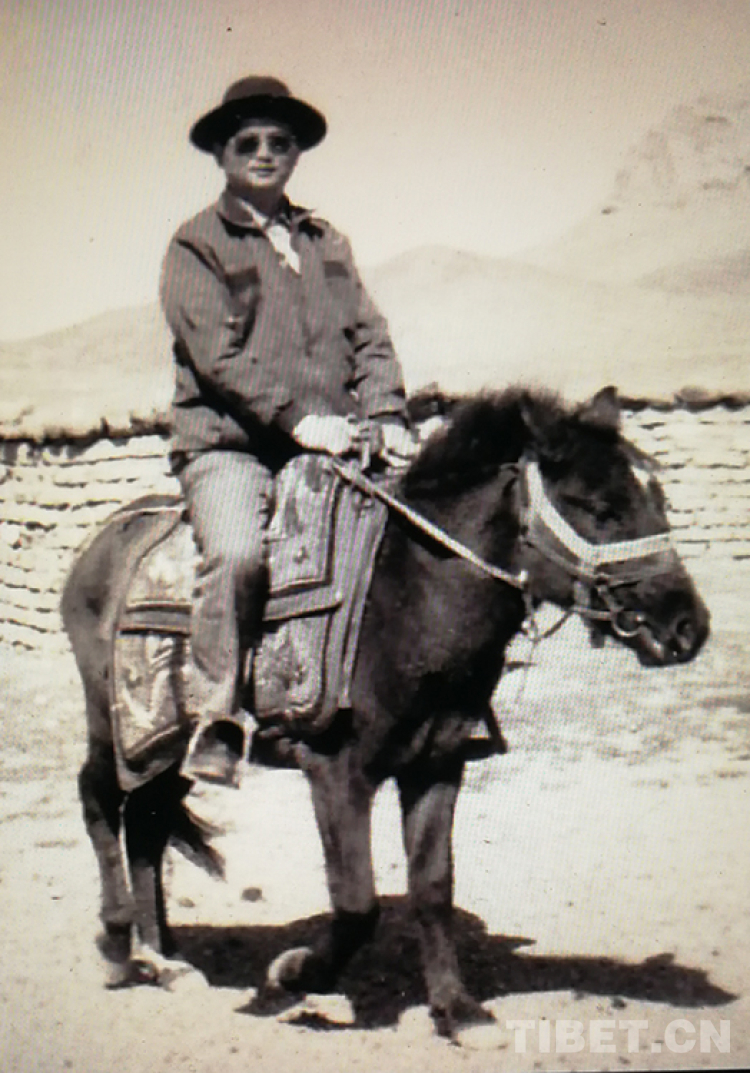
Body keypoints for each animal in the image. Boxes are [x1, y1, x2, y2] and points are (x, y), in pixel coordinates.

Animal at [61, 386, 709, 1039]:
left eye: (655, 499)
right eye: (599, 507)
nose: (689, 627)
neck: (408, 597)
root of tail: (101, 545)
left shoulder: (436, 765)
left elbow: (433, 887)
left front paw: (456, 1009)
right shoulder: (336, 773)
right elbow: (357, 903)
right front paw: (293, 975)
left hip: (167, 745)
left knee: (147, 820)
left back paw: (163, 956)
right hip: (115, 726)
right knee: (99, 799)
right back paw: (119, 948)